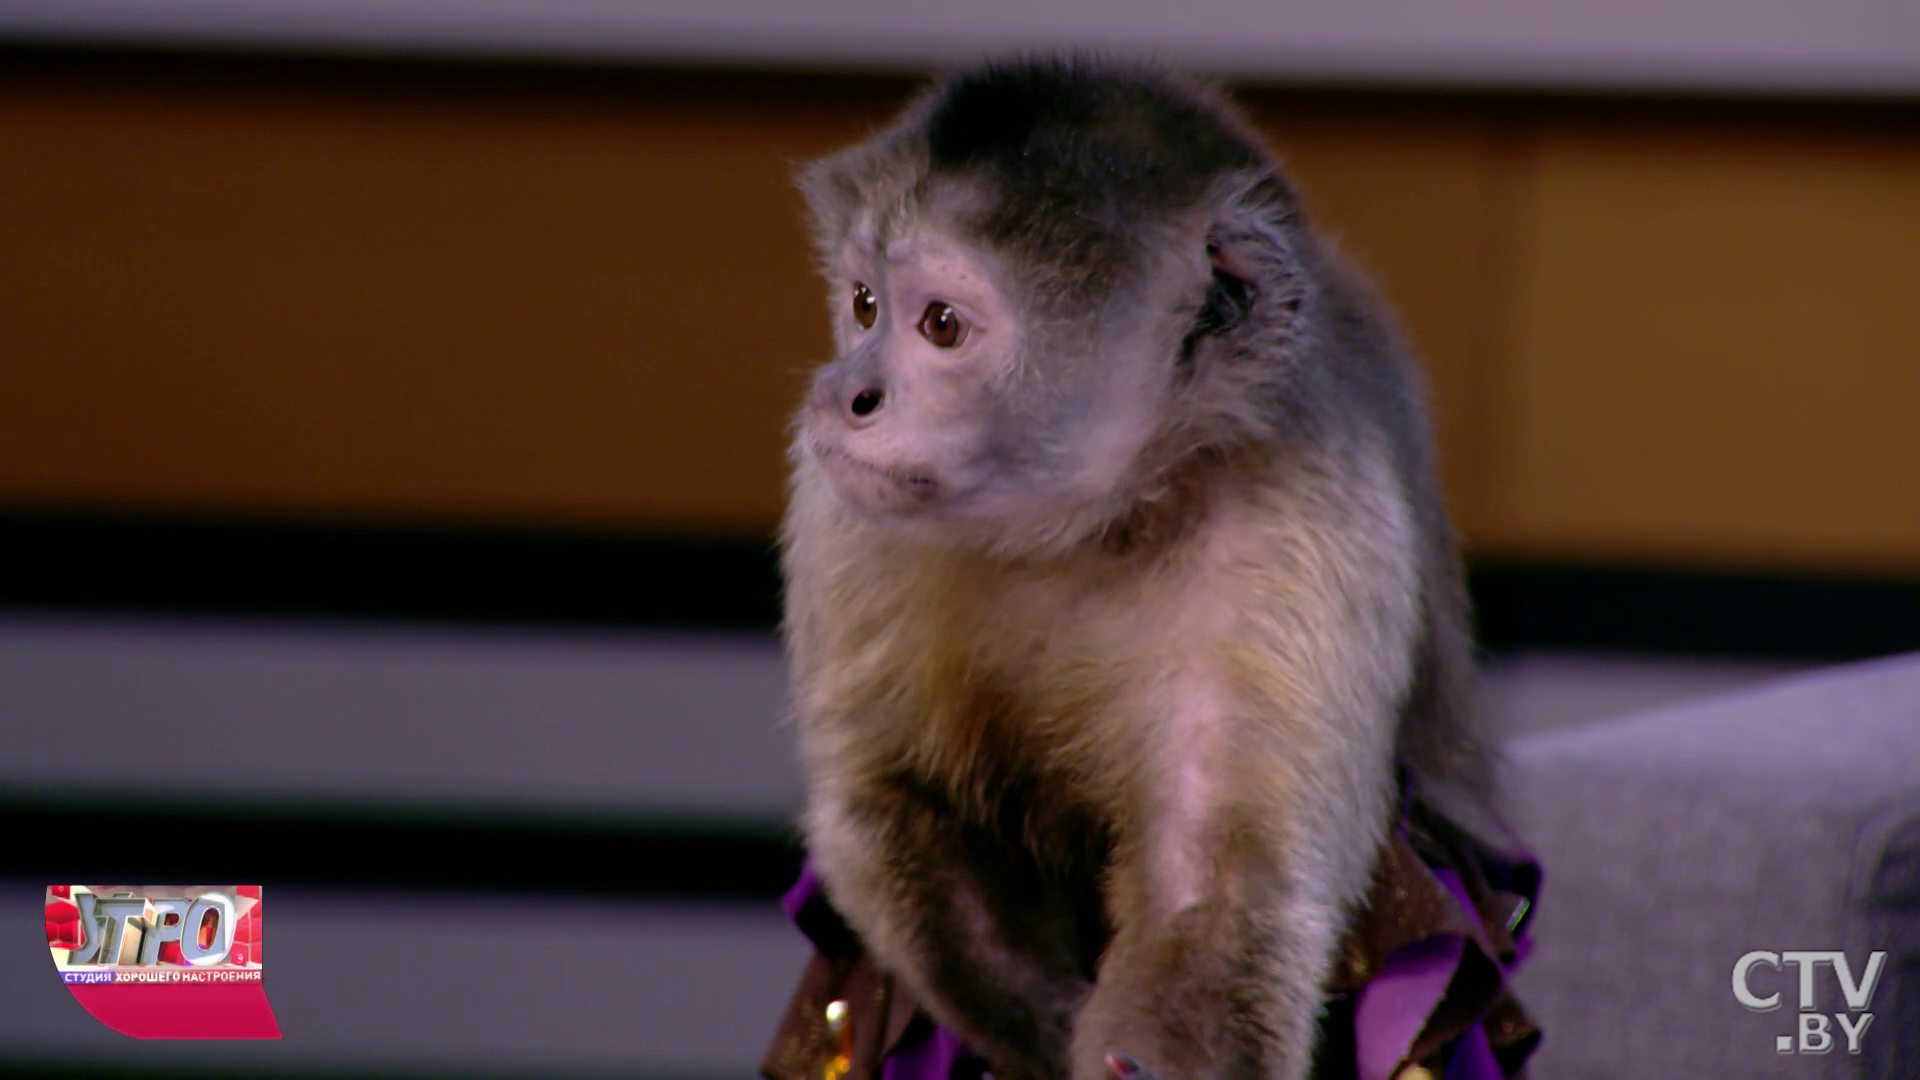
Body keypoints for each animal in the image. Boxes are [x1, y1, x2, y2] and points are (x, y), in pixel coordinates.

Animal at [774, 56, 1530, 1080]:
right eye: (863, 306)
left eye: (940, 324)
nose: (846, 392)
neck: (1092, 523)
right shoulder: (842, 506)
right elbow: (884, 798)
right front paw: (1042, 1029)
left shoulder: (1297, 524)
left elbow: (1212, 902)